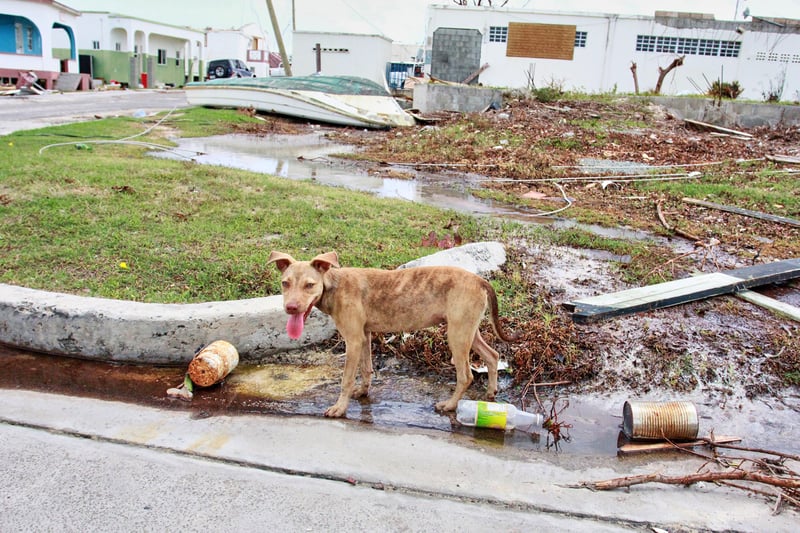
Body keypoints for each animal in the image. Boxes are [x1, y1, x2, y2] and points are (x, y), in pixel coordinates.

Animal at [268, 251, 520, 418]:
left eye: (309, 285)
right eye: (285, 283)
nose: (290, 308)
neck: (333, 285)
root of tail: (480, 279)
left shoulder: (353, 340)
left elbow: (346, 379)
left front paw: (340, 408)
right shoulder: (364, 336)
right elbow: (366, 369)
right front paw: (363, 391)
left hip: (457, 336)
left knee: (466, 376)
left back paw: (449, 405)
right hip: (468, 331)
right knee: (493, 356)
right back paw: (490, 393)